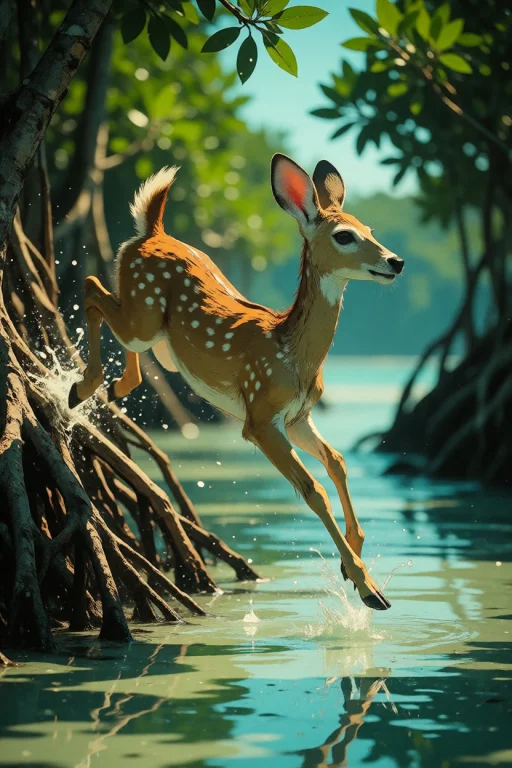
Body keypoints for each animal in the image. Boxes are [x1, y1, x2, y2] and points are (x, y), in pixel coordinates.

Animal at [68, 154, 404, 611]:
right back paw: (81, 388)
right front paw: (368, 587)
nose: (395, 261)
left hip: (154, 333)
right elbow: (312, 489)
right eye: (345, 235)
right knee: (90, 287)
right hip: (144, 314)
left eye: (369, 229)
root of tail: (152, 231)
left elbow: (337, 461)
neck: (291, 352)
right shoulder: (260, 418)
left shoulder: (297, 417)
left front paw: (352, 561)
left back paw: (118, 385)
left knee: (109, 310)